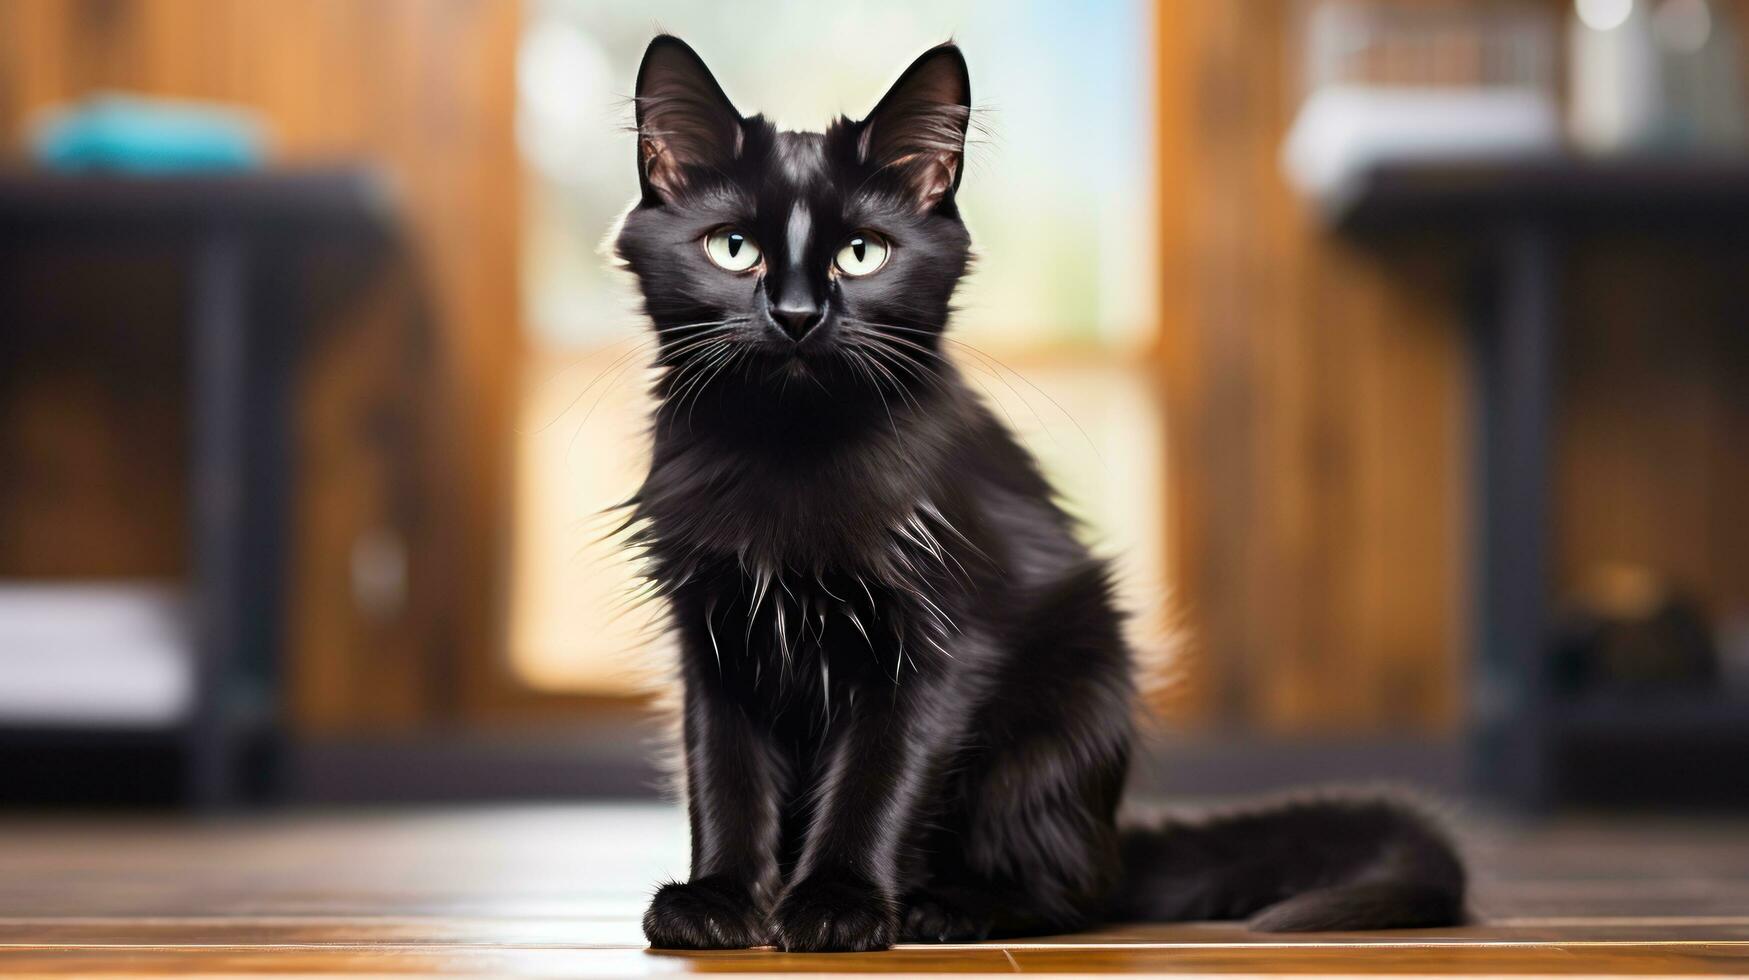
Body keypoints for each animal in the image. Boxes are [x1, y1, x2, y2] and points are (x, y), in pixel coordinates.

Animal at [615, 36, 1462, 952]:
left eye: (862, 253)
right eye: (733, 248)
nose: (798, 315)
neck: (789, 455)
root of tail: (1112, 836)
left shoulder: (942, 640)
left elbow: (878, 778)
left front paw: (837, 903)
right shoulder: (713, 635)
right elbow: (724, 778)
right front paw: (719, 900)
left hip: (1068, 706)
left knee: (1071, 892)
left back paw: (948, 906)